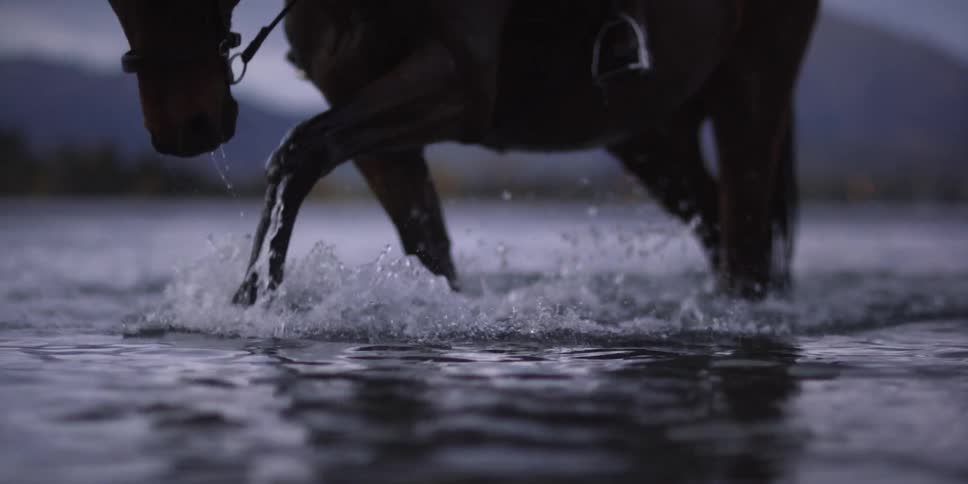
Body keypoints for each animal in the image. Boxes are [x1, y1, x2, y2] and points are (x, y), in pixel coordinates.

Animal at [108, 0, 819, 304]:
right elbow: (425, 239)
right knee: (718, 224)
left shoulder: (459, 77)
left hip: (752, 82)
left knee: (747, 237)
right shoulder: (356, 94)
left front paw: (253, 296)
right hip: (647, 129)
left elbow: (298, 151)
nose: (187, 129)